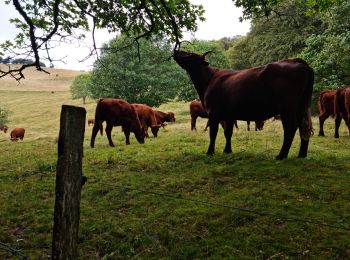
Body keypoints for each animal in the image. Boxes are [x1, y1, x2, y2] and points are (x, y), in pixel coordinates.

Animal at [174, 50, 314, 159]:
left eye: (190, 54)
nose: (176, 51)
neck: (209, 79)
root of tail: (296, 61)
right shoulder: (229, 116)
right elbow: (228, 133)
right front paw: (227, 151)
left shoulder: (214, 113)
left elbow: (213, 133)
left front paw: (210, 152)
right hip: (301, 106)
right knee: (304, 126)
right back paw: (302, 155)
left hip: (287, 108)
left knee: (291, 127)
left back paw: (281, 155)